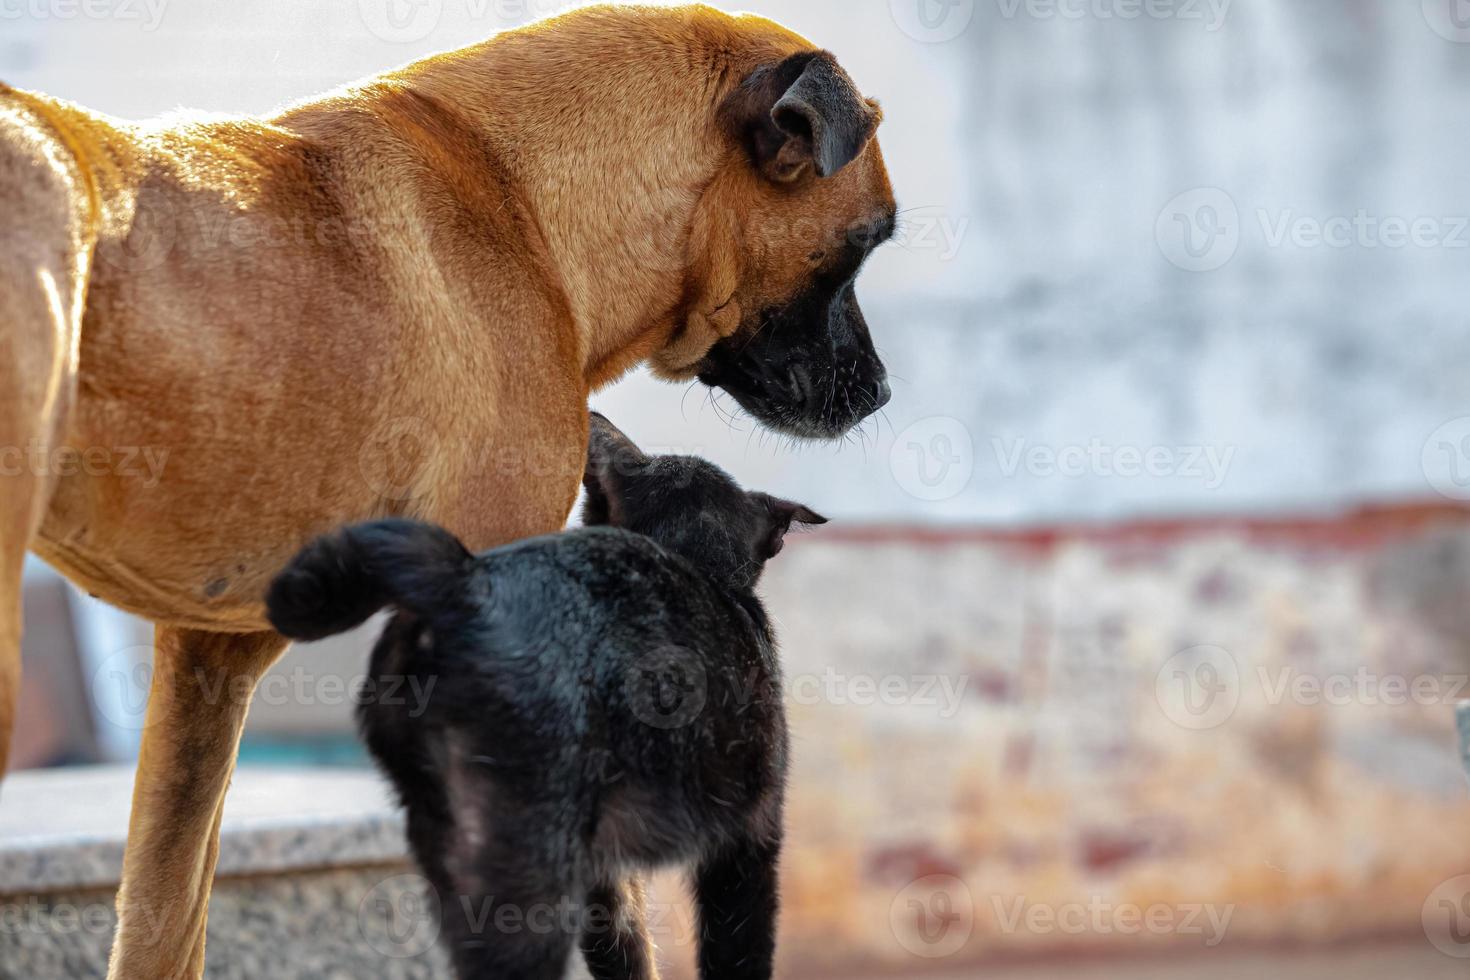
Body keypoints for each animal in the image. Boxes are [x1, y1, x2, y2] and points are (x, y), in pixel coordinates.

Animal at [264, 414, 829, 980]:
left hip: (449, 838)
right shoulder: (749, 843)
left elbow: (629, 955)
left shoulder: (609, 877)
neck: (694, 559)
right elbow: (737, 955)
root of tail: (466, 579)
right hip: (532, 864)